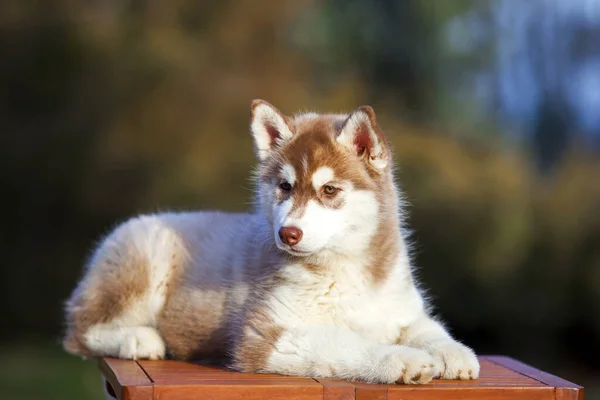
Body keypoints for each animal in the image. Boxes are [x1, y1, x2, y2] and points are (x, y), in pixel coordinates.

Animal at [63, 99, 480, 384]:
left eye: (329, 190)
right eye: (284, 186)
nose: (287, 234)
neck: (348, 269)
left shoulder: (401, 310)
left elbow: (430, 329)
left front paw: (456, 353)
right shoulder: (266, 335)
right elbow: (344, 343)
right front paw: (399, 359)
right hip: (146, 259)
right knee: (80, 331)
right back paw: (140, 339)